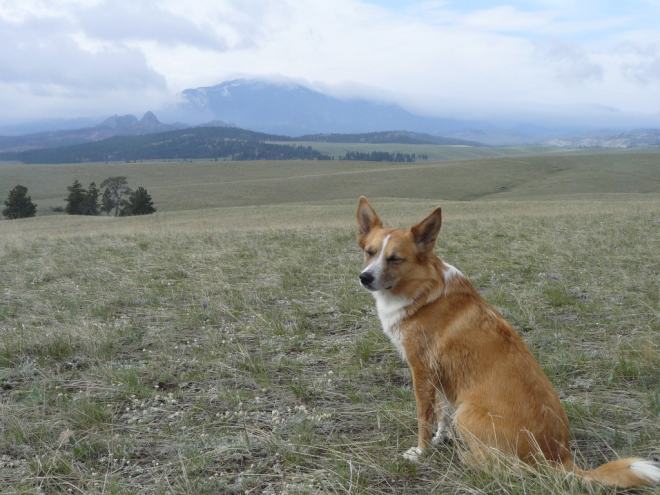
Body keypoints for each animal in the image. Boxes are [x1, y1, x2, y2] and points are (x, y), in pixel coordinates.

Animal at [356, 197, 660, 488]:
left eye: (396, 258)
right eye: (370, 252)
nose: (364, 277)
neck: (423, 290)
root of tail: (557, 457)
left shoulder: (420, 371)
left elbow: (424, 418)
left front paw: (421, 452)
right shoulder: (437, 376)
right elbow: (440, 413)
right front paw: (438, 439)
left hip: (466, 413)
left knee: (504, 467)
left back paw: (467, 457)